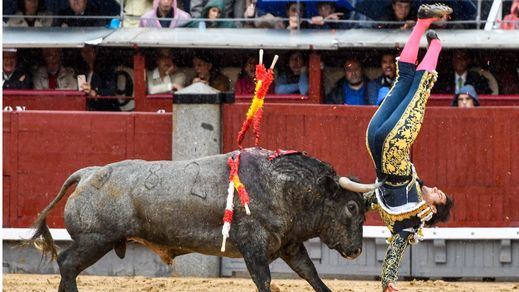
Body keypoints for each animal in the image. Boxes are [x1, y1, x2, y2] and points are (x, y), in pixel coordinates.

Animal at [29, 148, 366, 292]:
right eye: (351, 207)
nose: (356, 251)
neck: (278, 185)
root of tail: (87, 173)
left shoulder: (289, 244)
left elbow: (312, 275)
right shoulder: (254, 249)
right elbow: (265, 281)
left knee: (67, 265)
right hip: (96, 240)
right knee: (68, 264)